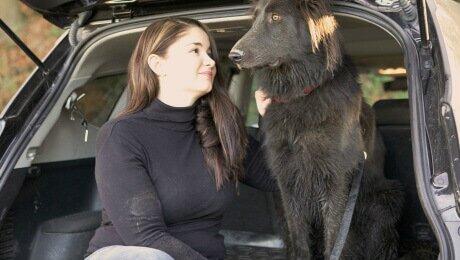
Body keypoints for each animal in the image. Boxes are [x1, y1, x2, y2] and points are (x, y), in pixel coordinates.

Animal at [229, 1, 402, 258]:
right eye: (255, 20)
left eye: (276, 17)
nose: (233, 56)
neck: (299, 94)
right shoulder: (287, 181)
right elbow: (299, 239)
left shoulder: (336, 180)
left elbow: (334, 238)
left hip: (384, 200)